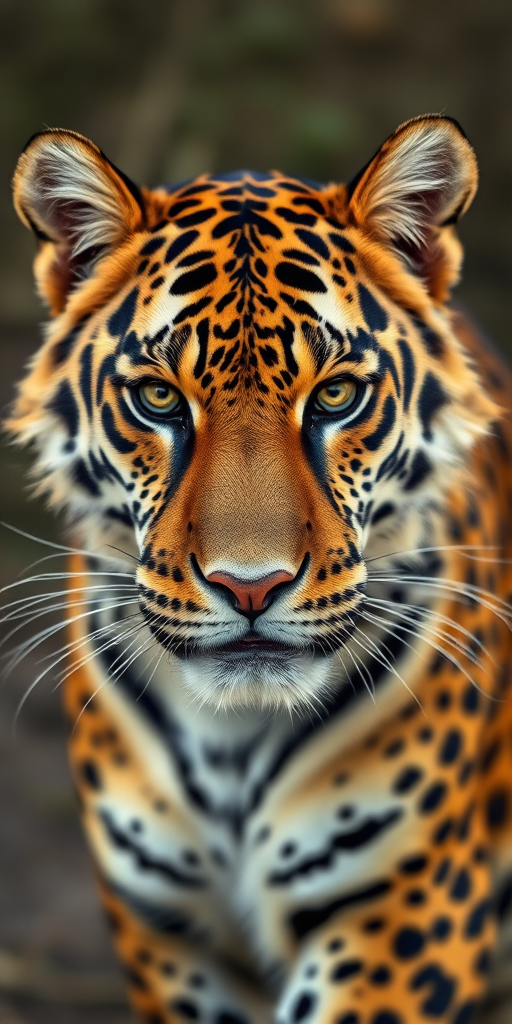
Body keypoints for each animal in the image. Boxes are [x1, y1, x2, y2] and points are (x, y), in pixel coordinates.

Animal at [6, 113, 512, 1024]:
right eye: (160, 399)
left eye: (338, 395)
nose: (251, 586)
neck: (231, 745)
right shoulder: (172, 941)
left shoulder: (408, 911)